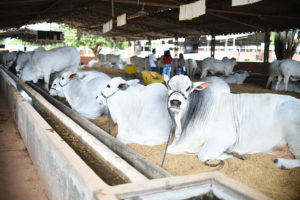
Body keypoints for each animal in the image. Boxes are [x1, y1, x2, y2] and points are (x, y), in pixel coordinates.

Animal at [164, 74, 300, 170]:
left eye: (188, 88)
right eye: (169, 86)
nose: (175, 102)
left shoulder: (225, 137)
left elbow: (202, 155)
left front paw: (228, 153)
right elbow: (169, 149)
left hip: (294, 138)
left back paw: (282, 163)